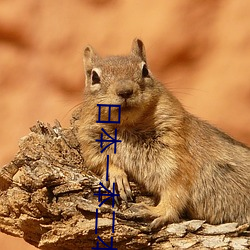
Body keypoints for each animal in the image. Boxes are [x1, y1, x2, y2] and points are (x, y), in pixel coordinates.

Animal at [77, 38, 249, 229]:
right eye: (94, 77)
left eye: (145, 70)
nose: (125, 91)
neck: (127, 127)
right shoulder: (91, 143)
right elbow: (100, 161)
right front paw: (116, 176)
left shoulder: (176, 155)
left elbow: (175, 190)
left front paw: (156, 211)